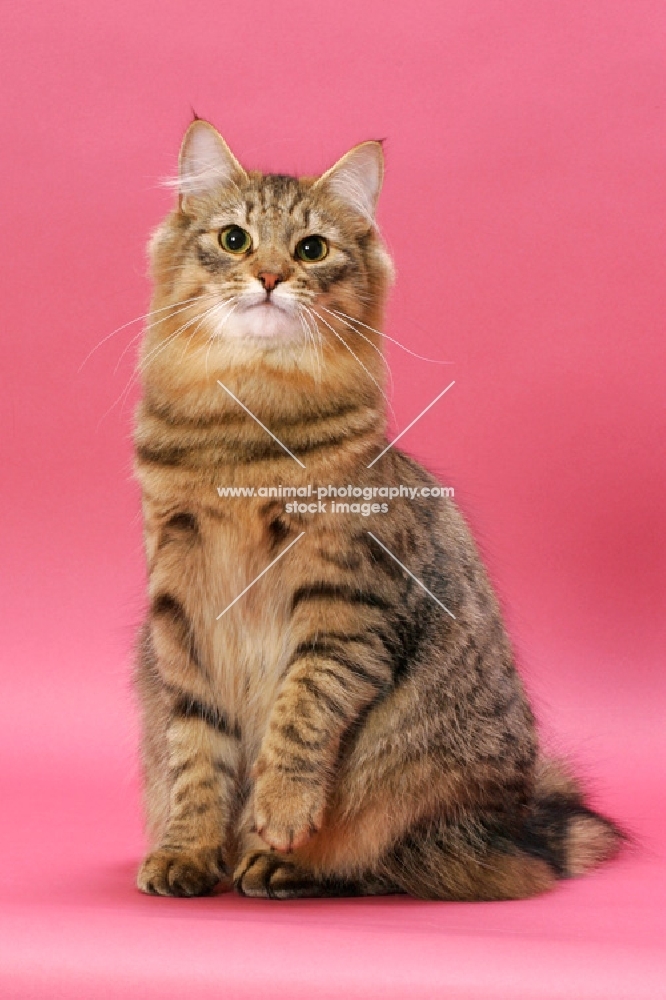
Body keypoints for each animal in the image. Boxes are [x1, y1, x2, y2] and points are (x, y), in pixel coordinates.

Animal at [132, 117, 620, 900]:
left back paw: (279, 864)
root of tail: (521, 824)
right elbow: (197, 755)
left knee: (381, 861)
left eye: (311, 249)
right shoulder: (181, 614)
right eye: (235, 239)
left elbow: (300, 712)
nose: (270, 277)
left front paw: (278, 813)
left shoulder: (346, 602)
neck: (243, 427)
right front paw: (188, 852)